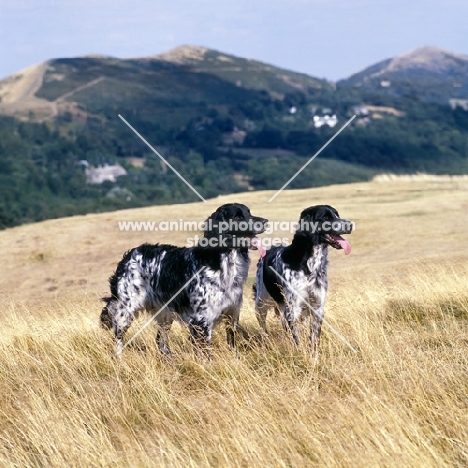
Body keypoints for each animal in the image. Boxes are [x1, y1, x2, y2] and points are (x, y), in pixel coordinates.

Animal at [100, 203, 268, 356]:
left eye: (249, 212)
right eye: (238, 217)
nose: (265, 221)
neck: (225, 262)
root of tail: (129, 256)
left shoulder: (231, 315)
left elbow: (232, 345)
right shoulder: (201, 322)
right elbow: (207, 355)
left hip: (165, 314)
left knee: (160, 342)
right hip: (125, 310)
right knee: (118, 339)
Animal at [252, 204, 352, 352]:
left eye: (337, 215)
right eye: (326, 217)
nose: (350, 224)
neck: (310, 266)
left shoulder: (317, 308)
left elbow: (314, 340)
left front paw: (314, 356)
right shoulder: (293, 310)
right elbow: (297, 341)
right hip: (261, 304)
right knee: (263, 328)